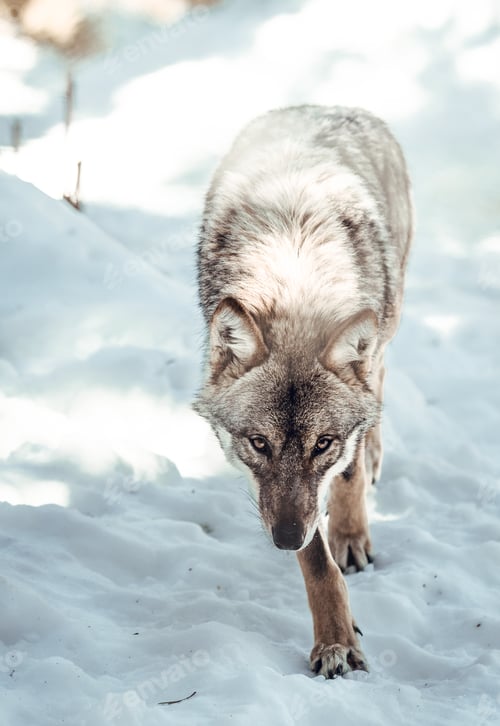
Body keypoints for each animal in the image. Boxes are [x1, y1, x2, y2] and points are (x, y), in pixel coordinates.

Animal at [194, 105, 413, 678]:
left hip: (387, 325)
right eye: (259, 444)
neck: (294, 278)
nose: (284, 538)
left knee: (378, 388)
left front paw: (349, 539)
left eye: (323, 444)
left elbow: (346, 477)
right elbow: (316, 563)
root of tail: (329, 106)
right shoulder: (284, 501)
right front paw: (336, 640)